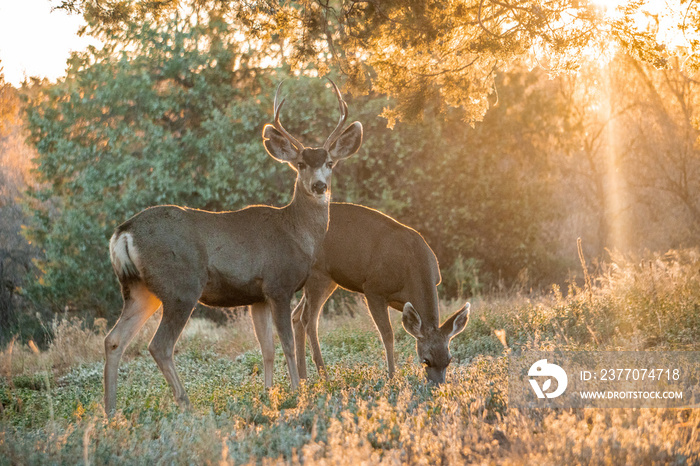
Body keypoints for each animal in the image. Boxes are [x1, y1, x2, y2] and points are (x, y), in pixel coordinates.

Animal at [106, 81, 364, 416]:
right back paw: (186, 404)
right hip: (181, 287)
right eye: (301, 164)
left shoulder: (257, 297)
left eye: (330, 163)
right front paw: (297, 392)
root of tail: (124, 233)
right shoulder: (278, 285)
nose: (320, 186)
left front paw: (269, 393)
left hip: (139, 289)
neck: (296, 233)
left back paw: (110, 412)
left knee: (114, 340)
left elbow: (267, 348)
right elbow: (286, 343)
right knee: (159, 346)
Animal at [290, 206, 470, 384]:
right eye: (426, 360)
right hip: (318, 273)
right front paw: (392, 377)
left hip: (330, 279)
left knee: (296, 315)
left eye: (449, 360)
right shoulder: (373, 290)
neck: (414, 266)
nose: (438, 385)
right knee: (308, 319)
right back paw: (324, 378)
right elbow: (388, 334)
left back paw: (302, 381)